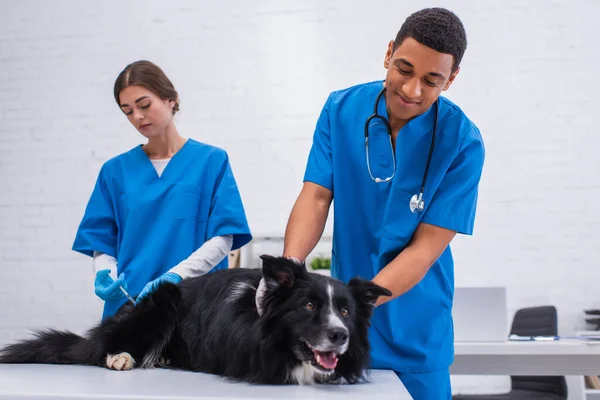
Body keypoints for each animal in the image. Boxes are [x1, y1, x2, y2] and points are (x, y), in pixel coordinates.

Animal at [0, 256, 390, 384]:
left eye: (345, 312)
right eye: (308, 306)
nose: (339, 336)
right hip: (162, 299)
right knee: (103, 349)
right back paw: (121, 357)